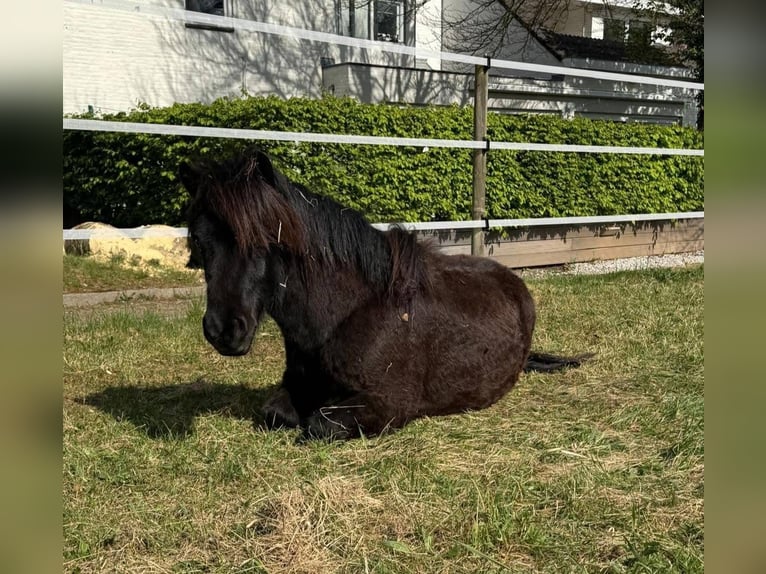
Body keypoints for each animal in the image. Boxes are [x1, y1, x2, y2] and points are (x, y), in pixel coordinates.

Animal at [181, 147, 590, 441]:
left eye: (264, 238)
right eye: (199, 240)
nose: (223, 331)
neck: (343, 315)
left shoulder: (388, 404)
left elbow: (317, 422)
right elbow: (276, 413)